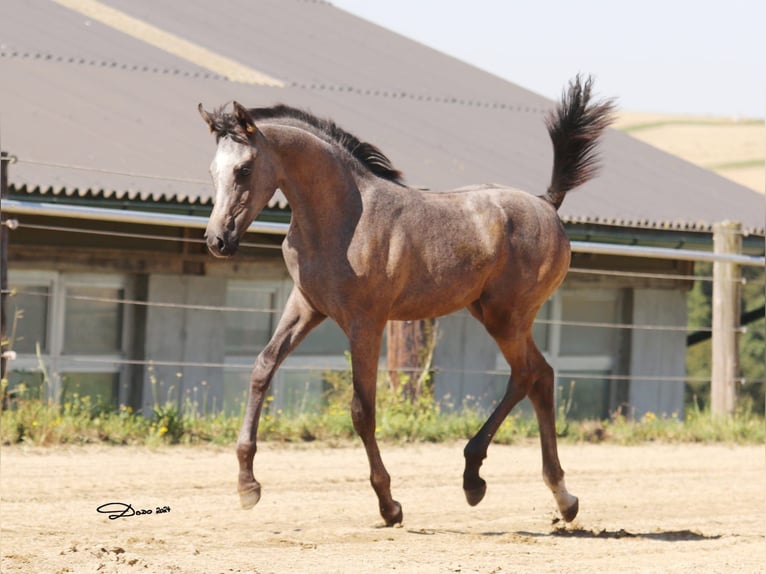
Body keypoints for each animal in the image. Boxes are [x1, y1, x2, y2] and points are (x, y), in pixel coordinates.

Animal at [200, 77, 616, 532]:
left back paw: (482, 479)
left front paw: (389, 505)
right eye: (212, 171)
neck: (343, 218)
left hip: (507, 317)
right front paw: (247, 486)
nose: (217, 240)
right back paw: (556, 497)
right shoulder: (307, 305)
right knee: (540, 376)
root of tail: (547, 202)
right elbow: (262, 369)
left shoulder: (365, 322)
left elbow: (361, 409)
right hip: (492, 314)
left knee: (527, 375)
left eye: (244, 169)